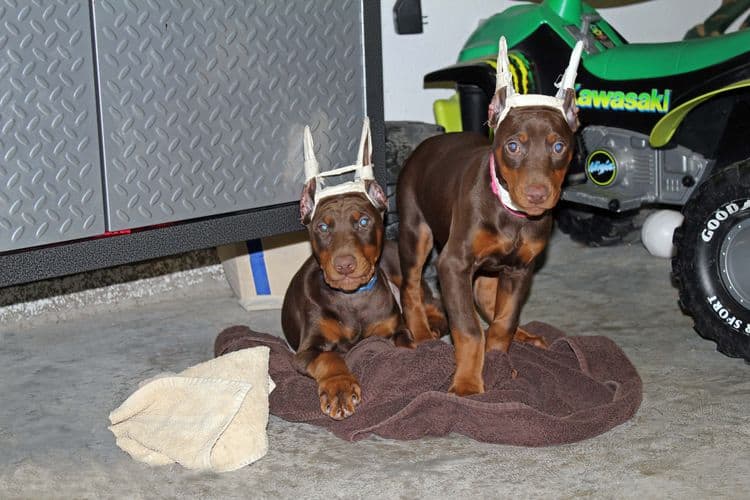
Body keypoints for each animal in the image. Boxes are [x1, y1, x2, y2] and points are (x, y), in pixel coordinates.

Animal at [396, 38, 584, 394]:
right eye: (512, 146)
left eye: (558, 147)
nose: (537, 194)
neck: (511, 213)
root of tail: (430, 142)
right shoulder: (453, 265)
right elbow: (468, 330)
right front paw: (468, 383)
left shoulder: (521, 269)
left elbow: (503, 320)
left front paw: (499, 363)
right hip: (416, 231)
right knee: (410, 286)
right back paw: (423, 334)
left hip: (489, 273)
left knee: (488, 304)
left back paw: (524, 335)